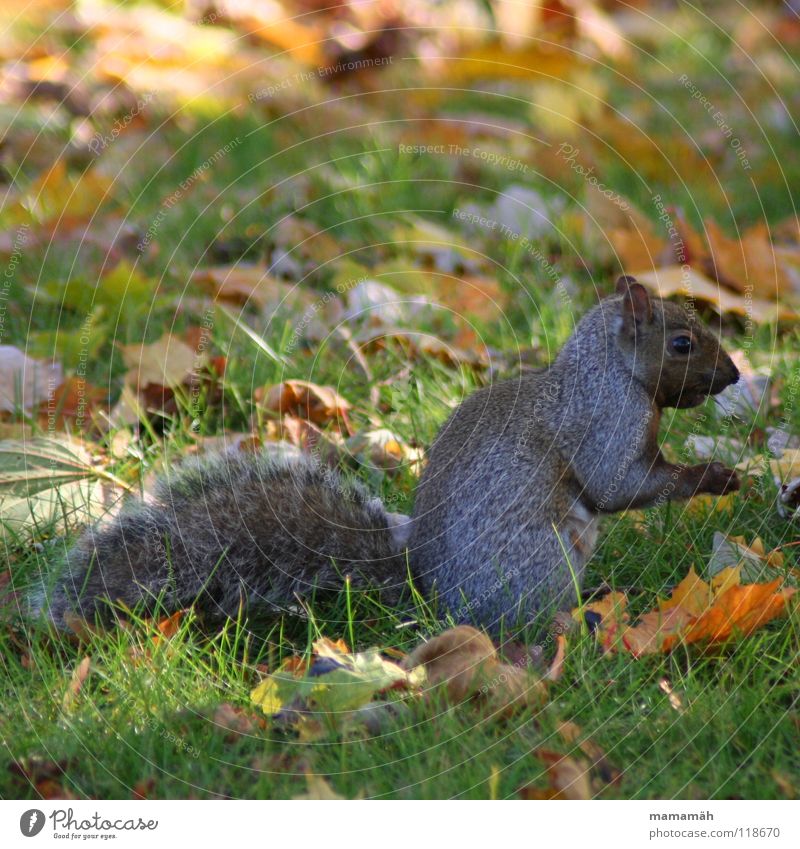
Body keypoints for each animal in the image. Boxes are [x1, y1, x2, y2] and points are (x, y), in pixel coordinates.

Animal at [32, 274, 744, 632]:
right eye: (681, 342)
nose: (736, 374)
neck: (608, 372)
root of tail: (433, 597)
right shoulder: (604, 423)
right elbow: (617, 484)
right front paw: (716, 476)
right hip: (544, 563)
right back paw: (582, 620)